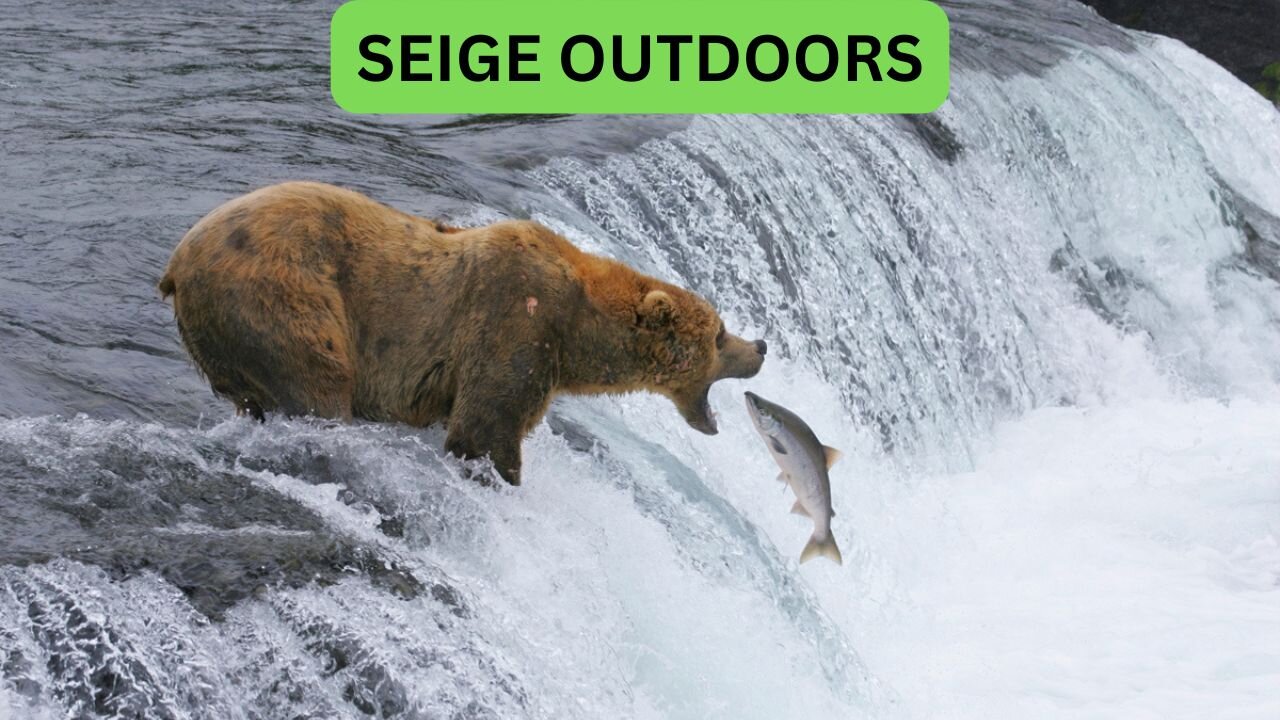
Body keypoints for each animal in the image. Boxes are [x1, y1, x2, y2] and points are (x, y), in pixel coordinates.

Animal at [159, 181, 766, 485]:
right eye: (719, 335)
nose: (759, 347)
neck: (579, 331)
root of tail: (176, 265)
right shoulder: (515, 320)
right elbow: (485, 427)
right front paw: (500, 474)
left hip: (222, 340)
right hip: (280, 297)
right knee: (318, 383)